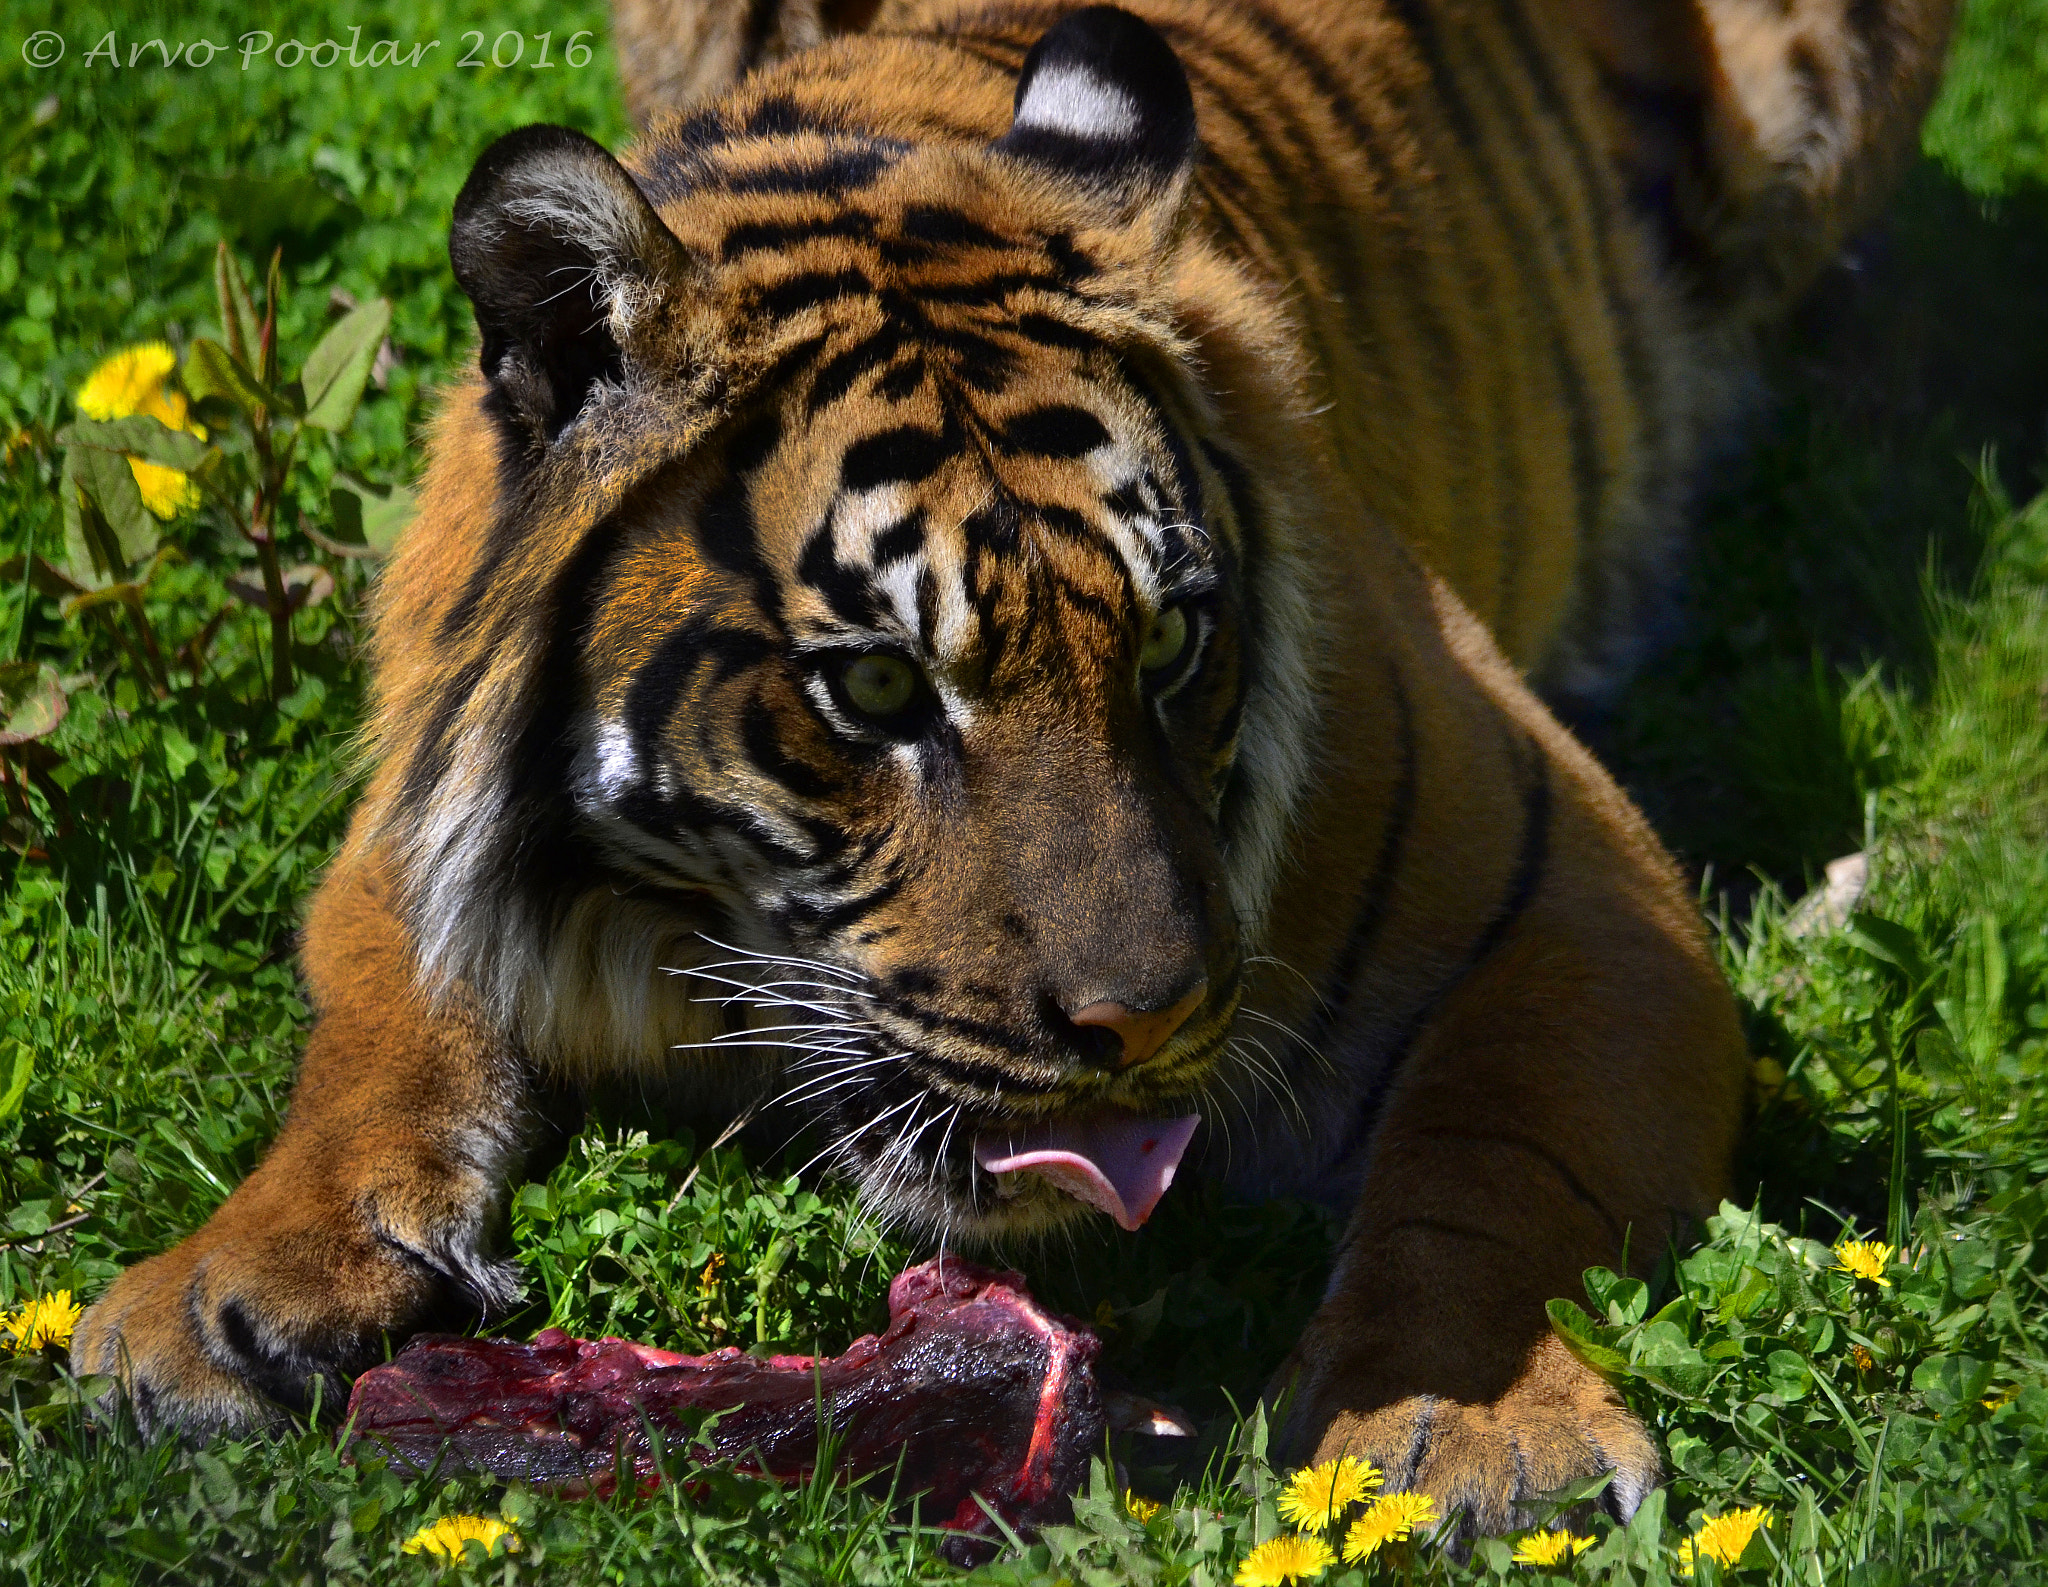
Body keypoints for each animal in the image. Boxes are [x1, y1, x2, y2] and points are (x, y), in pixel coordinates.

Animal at [75, 0, 1949, 1548]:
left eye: (1173, 641)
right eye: (878, 683)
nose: (1145, 1024)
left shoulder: (1581, 894)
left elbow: (1494, 1158)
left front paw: (1476, 1428)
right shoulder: (406, 824)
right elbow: (370, 1036)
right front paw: (219, 1294)